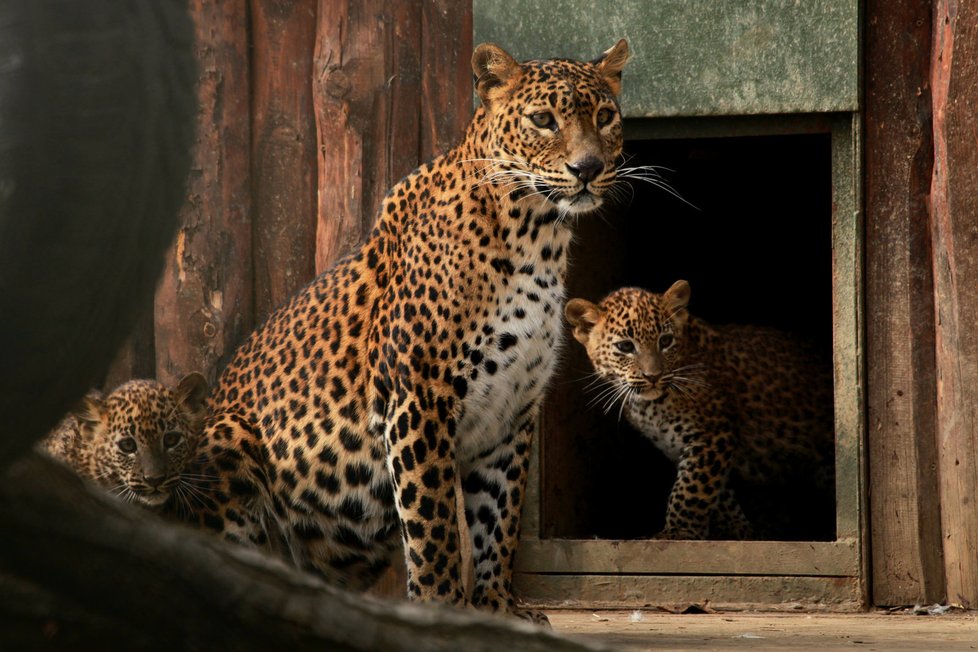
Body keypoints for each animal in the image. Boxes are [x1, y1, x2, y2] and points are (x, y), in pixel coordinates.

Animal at [188, 40, 628, 620]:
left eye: (604, 117)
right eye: (542, 120)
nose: (588, 168)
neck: (537, 238)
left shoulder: (513, 411)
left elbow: (500, 518)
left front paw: (497, 607)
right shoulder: (420, 399)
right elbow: (434, 522)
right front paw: (443, 608)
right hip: (225, 434)